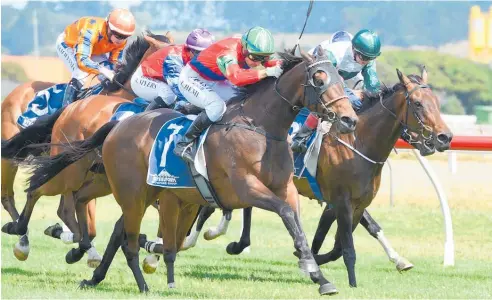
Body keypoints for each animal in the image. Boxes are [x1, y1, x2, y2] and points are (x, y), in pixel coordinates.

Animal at [18, 48, 358, 294]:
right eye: (319, 78)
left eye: (342, 79)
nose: (349, 120)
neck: (261, 129)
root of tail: (117, 125)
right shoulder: (246, 189)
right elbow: (286, 215)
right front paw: (311, 268)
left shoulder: (285, 188)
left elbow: (297, 225)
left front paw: (318, 275)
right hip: (119, 188)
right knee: (65, 202)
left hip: (136, 191)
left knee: (102, 218)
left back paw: (93, 269)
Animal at [174, 66, 454, 288]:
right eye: (418, 103)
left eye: (437, 102)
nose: (445, 137)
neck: (358, 143)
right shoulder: (340, 200)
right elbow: (345, 244)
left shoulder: (351, 202)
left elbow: (347, 237)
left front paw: (398, 260)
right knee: (211, 205)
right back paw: (195, 238)